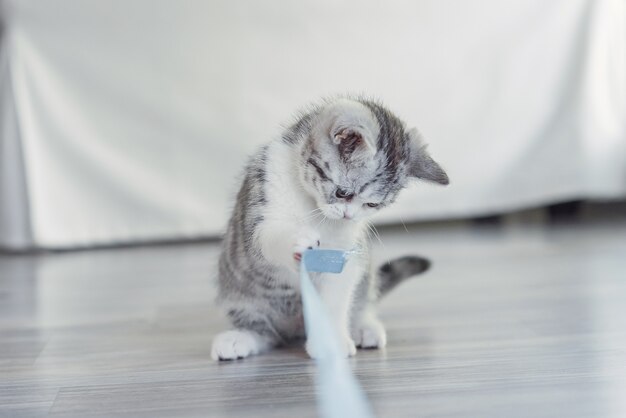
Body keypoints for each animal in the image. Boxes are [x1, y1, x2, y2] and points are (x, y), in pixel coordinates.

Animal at [212, 97, 446, 360]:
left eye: (372, 204)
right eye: (343, 193)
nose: (348, 215)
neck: (312, 206)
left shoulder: (346, 254)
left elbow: (336, 296)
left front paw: (331, 340)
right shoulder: (261, 202)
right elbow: (267, 237)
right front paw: (295, 240)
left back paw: (364, 327)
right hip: (240, 294)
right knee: (264, 332)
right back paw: (239, 337)